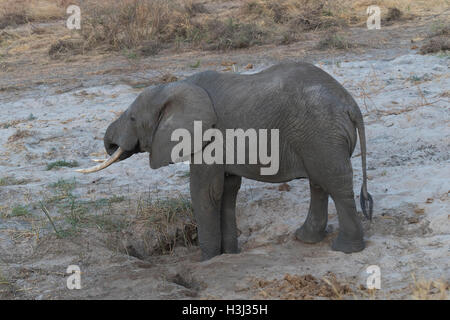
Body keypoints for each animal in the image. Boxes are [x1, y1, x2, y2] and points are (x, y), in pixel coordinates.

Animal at [76, 62, 372, 260]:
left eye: (133, 118)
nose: (110, 143)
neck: (174, 87)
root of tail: (351, 105)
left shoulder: (207, 138)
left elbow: (205, 192)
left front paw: (208, 259)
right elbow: (228, 191)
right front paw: (229, 253)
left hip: (322, 134)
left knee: (335, 183)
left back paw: (346, 249)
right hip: (318, 138)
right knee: (319, 182)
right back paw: (306, 239)